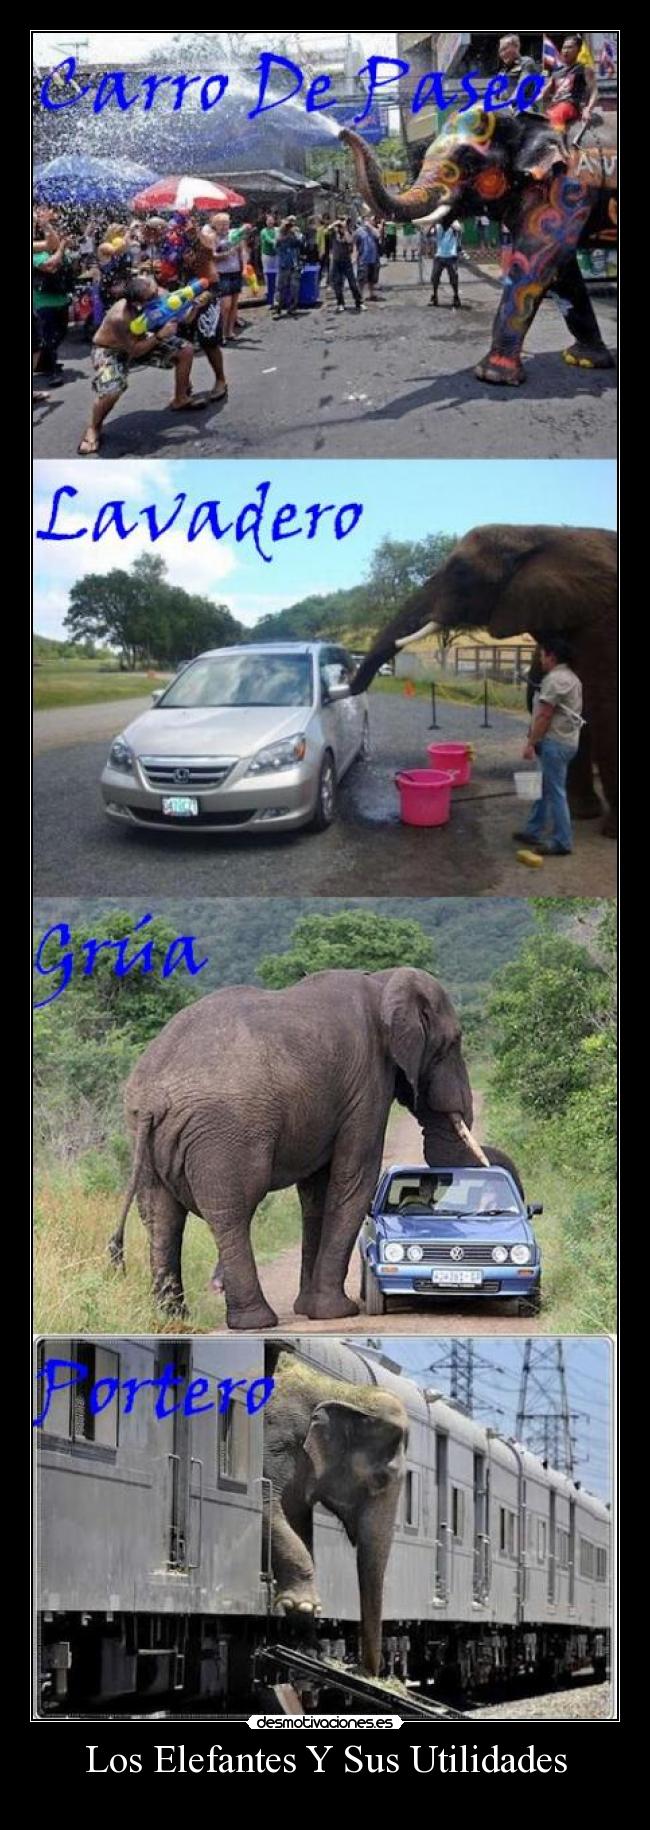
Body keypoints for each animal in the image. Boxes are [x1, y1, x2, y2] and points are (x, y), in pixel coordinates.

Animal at [109, 965, 494, 1330]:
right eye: (453, 1042)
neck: (383, 982)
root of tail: (152, 1097)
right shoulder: (367, 1083)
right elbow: (355, 1179)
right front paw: (336, 1312)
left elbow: (316, 1193)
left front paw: (308, 1309)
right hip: (224, 1133)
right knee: (233, 1211)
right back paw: (255, 1321)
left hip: (143, 1134)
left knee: (161, 1217)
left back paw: (173, 1319)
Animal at [263, 1348, 408, 1678]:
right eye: (381, 1479)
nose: (360, 1669)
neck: (343, 1391)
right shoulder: (278, 1434)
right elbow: (265, 1501)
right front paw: (303, 1607)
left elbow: (298, 1524)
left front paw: (308, 1644)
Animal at [340, 106, 617, 385]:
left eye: (470, 161)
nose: (343, 132)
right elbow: (561, 268)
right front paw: (584, 360)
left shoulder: (569, 188)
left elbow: (536, 263)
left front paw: (492, 375)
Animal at [349, 523, 617, 836]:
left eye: (461, 572)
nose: (349, 690)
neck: (535, 533)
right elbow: (579, 707)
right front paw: (582, 815)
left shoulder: (605, 624)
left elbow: (604, 709)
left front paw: (609, 831)